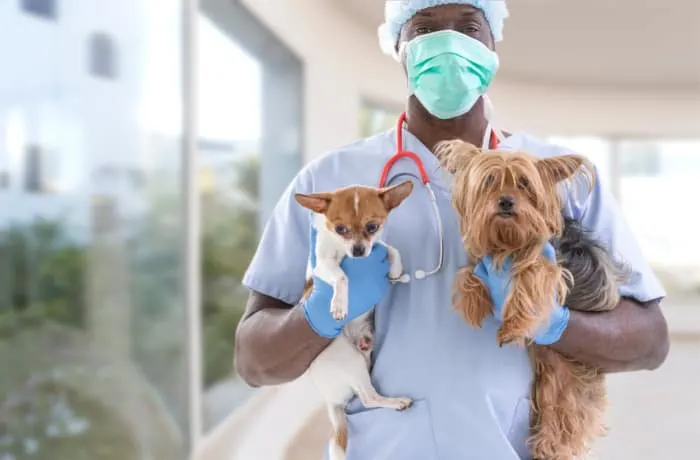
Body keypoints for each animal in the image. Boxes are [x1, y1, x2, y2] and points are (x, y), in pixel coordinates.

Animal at [438, 140, 628, 460]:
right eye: (489, 181)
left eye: (524, 184)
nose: (505, 202)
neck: (507, 242)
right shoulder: (484, 259)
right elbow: (468, 274)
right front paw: (474, 303)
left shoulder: (550, 265)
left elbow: (530, 279)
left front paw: (513, 325)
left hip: (569, 375)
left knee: (569, 416)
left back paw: (551, 446)